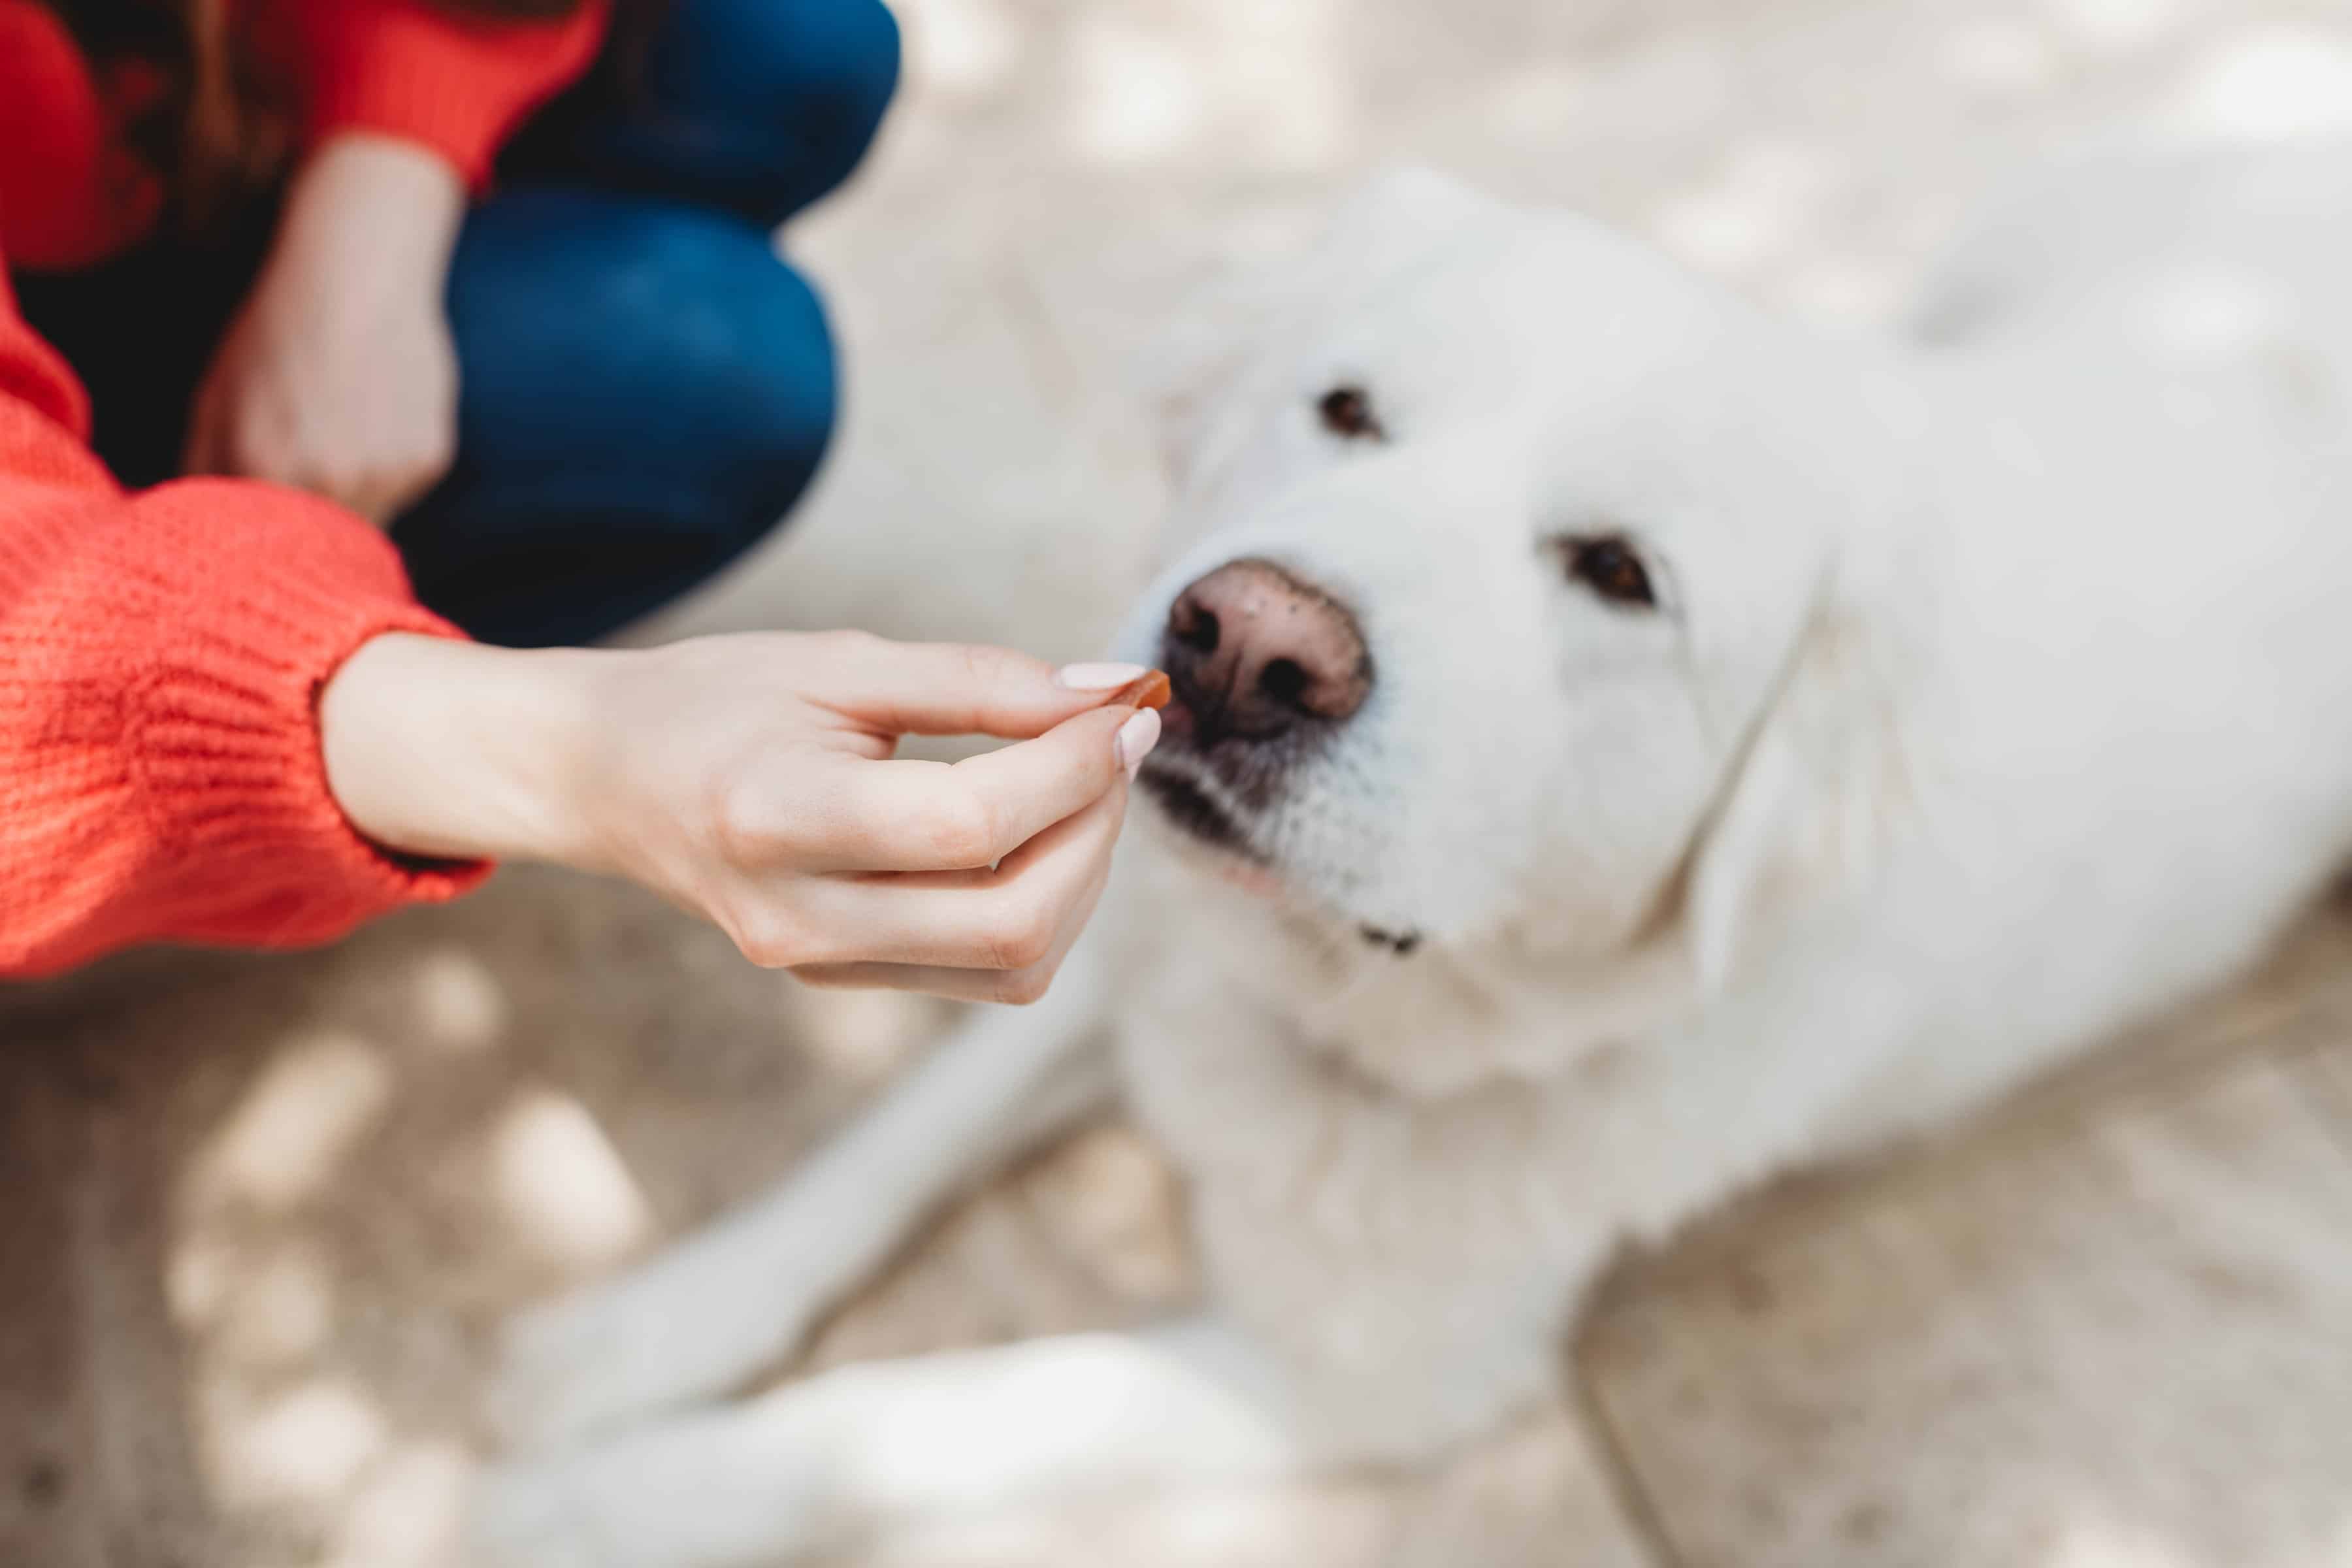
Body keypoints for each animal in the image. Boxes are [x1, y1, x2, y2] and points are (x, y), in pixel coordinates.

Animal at [468, 140, 2352, 1561]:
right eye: (1349, 410)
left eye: (1619, 575)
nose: (1245, 644)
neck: (1367, 995)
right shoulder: (1144, 944)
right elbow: (893, 1141)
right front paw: (643, 1333)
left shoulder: (1373, 1377)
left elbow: (968, 1407)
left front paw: (610, 1502)